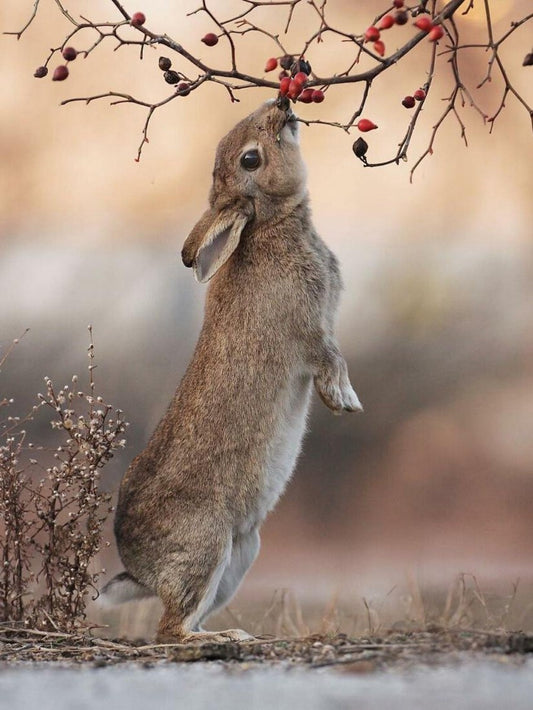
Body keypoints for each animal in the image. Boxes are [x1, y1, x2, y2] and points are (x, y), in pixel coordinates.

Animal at [100, 99, 362, 643]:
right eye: (251, 159)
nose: (282, 104)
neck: (268, 222)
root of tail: (138, 568)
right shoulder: (309, 331)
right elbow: (332, 358)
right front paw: (344, 401)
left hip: (242, 553)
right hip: (208, 545)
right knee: (169, 630)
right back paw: (224, 638)